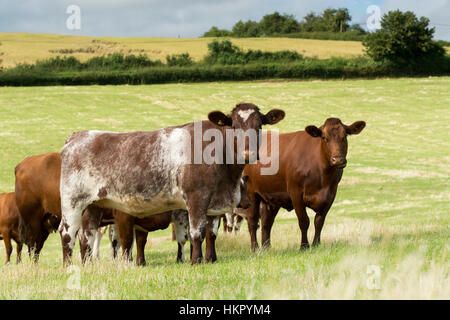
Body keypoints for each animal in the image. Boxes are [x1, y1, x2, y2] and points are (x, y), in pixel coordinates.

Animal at [59, 103, 284, 264]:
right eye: (234, 126)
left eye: (259, 126)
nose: (248, 153)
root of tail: (77, 136)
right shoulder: (196, 198)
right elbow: (197, 232)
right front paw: (196, 261)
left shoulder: (214, 204)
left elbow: (211, 233)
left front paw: (211, 259)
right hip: (72, 203)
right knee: (68, 234)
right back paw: (68, 267)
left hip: (93, 206)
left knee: (86, 236)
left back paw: (87, 267)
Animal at [243, 117, 366, 250]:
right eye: (324, 137)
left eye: (345, 136)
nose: (338, 160)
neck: (322, 175)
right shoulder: (295, 193)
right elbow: (304, 220)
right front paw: (304, 246)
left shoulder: (331, 194)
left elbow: (319, 221)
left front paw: (316, 244)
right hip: (251, 193)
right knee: (252, 221)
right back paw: (255, 248)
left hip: (272, 196)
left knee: (266, 222)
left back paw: (267, 248)